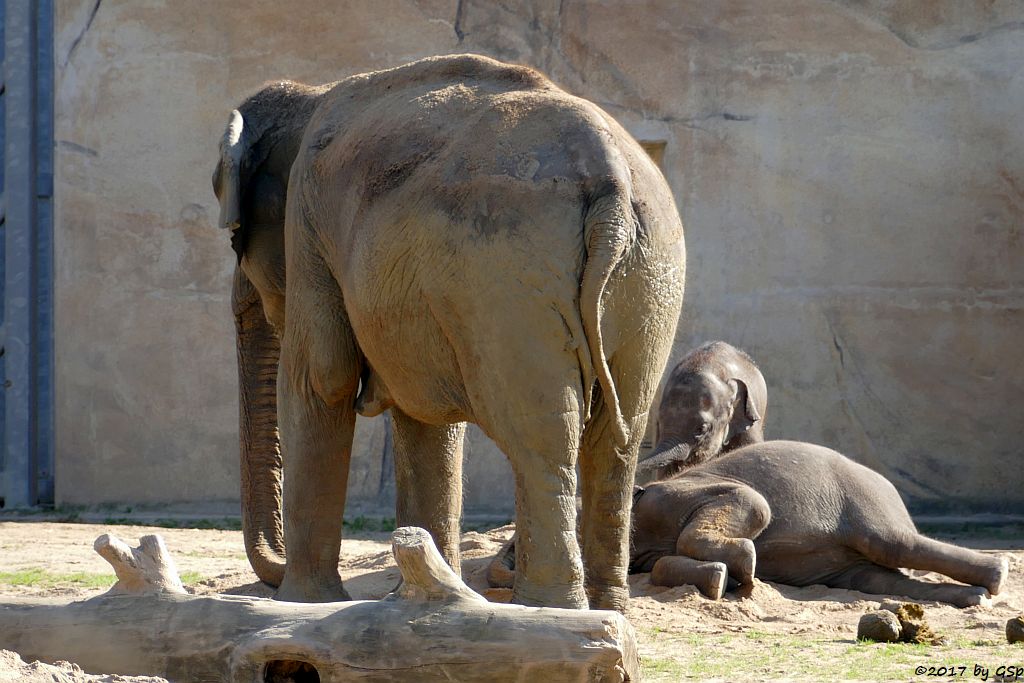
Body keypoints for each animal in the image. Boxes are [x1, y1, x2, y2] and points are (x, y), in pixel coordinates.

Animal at [210, 54, 684, 610]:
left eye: (236, 240)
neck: (312, 93)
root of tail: (611, 180)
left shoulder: (308, 221)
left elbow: (321, 379)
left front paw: (305, 604)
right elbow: (425, 418)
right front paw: (418, 596)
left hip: (505, 277)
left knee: (542, 438)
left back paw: (548, 609)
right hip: (649, 274)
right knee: (616, 439)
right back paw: (606, 610)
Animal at [630, 444, 1007, 610]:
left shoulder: (676, 493)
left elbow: (755, 503)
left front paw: (745, 567)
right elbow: (660, 566)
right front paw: (722, 578)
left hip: (865, 499)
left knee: (895, 543)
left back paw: (997, 575)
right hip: (850, 568)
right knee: (878, 579)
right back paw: (974, 598)